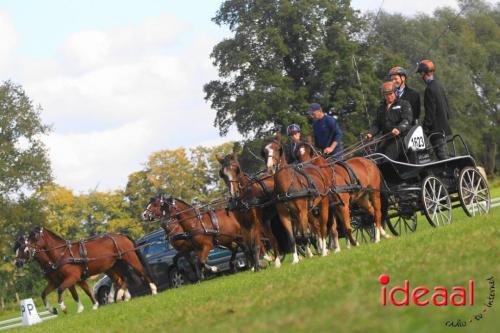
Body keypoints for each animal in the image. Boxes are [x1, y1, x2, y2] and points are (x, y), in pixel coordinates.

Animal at [262, 134, 332, 262]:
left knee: (323, 226)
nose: (271, 167)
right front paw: (295, 260)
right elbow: (291, 238)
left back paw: (324, 250)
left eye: (277, 149)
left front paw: (309, 254)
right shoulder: (284, 215)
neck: (287, 185)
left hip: (323, 203)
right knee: (316, 226)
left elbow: (304, 235)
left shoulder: (301, 211)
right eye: (265, 151)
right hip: (308, 211)